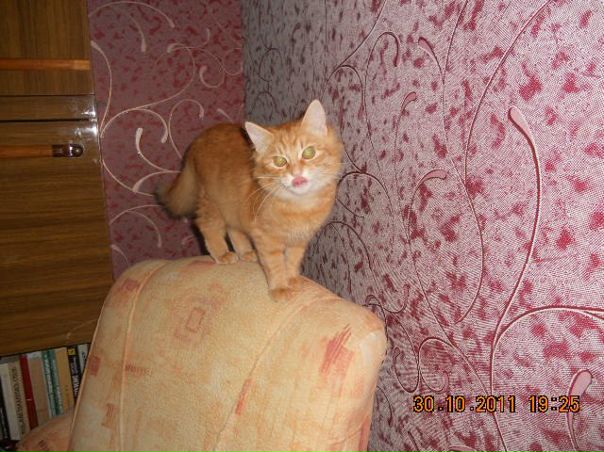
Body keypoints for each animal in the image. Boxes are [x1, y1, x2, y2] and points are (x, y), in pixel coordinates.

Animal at [157, 100, 343, 301]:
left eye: (308, 153)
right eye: (279, 161)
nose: (296, 174)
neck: (301, 205)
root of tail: (201, 137)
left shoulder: (299, 239)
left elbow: (292, 260)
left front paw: (292, 278)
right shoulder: (266, 238)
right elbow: (276, 265)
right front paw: (280, 287)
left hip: (231, 206)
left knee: (233, 229)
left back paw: (245, 252)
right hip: (211, 202)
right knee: (206, 226)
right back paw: (222, 254)